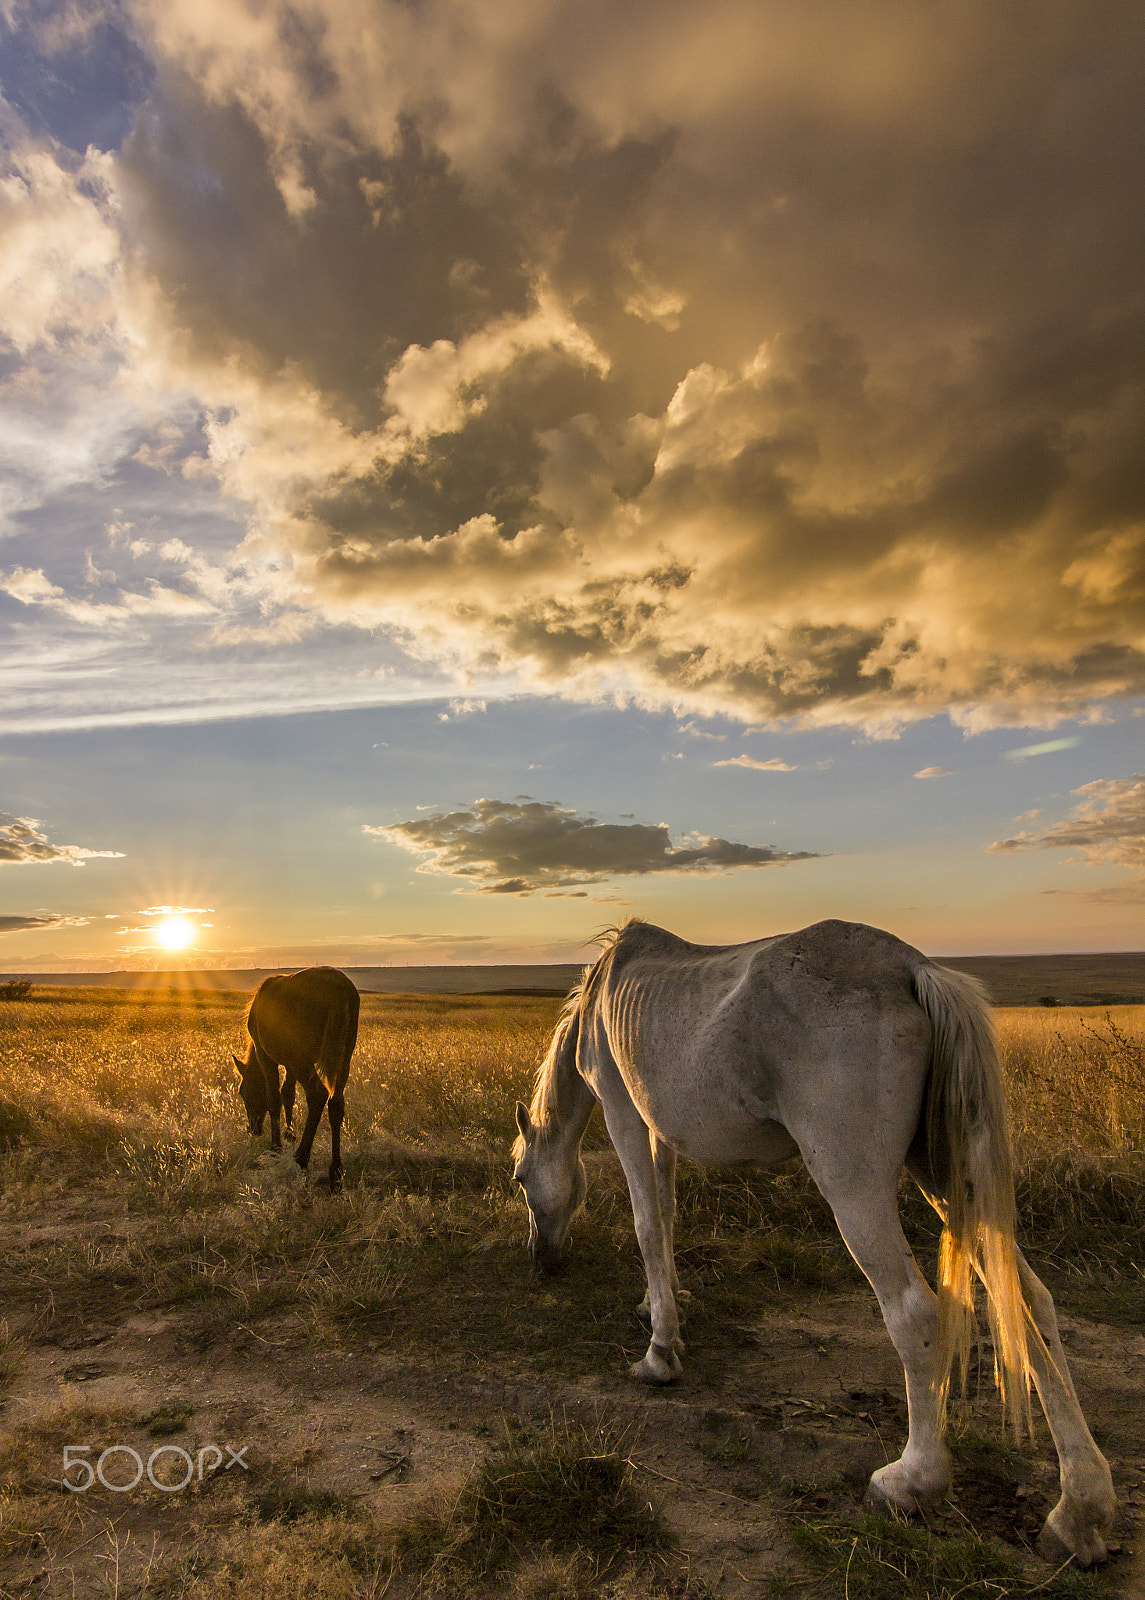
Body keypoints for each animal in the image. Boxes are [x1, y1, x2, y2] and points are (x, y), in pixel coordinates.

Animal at [232, 966, 360, 1189]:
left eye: (242, 1092)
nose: (252, 1129)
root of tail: (340, 992)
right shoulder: (289, 1062)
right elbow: (288, 1093)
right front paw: (289, 1133)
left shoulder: (267, 1055)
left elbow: (273, 1097)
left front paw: (276, 1146)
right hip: (343, 1054)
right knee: (336, 1102)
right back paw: (335, 1173)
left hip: (303, 1058)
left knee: (318, 1095)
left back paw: (301, 1159)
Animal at [512, 919, 1115, 1567]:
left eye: (520, 1178)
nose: (540, 1260)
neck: (603, 996)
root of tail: (914, 970)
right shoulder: (659, 1129)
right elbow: (668, 1215)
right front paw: (661, 1305)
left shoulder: (624, 1111)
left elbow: (647, 1224)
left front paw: (659, 1355)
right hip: (946, 1174)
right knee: (1028, 1302)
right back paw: (1079, 1512)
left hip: (855, 1184)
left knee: (917, 1313)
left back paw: (912, 1481)